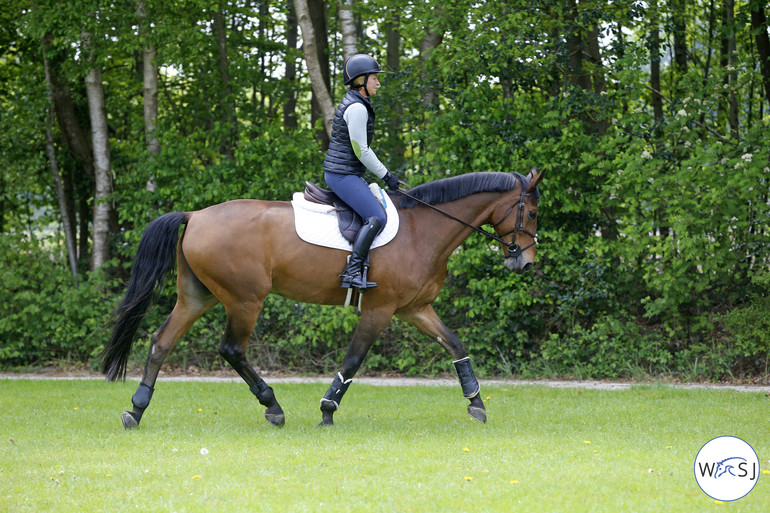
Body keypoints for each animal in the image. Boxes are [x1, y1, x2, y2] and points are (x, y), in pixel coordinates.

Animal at [102, 169, 544, 428]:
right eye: (533, 213)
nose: (525, 262)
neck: (423, 229)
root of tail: (195, 215)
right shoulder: (380, 310)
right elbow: (353, 359)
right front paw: (328, 409)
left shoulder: (415, 308)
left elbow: (455, 344)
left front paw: (476, 404)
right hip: (245, 300)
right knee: (231, 348)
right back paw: (272, 406)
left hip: (199, 296)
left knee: (161, 341)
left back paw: (136, 409)